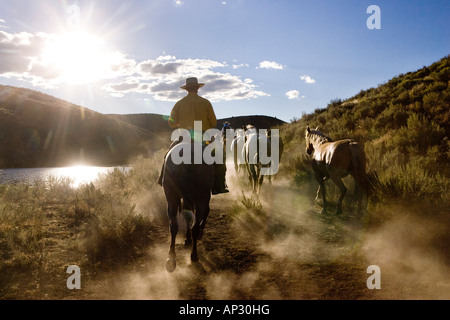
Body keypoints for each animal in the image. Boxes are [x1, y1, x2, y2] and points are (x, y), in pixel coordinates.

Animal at [163, 141, 214, 272]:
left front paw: (187, 239)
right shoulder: (203, 198)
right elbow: (203, 213)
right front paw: (195, 235)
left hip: (171, 196)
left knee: (174, 225)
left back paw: (171, 258)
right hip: (201, 197)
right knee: (195, 226)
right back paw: (194, 255)